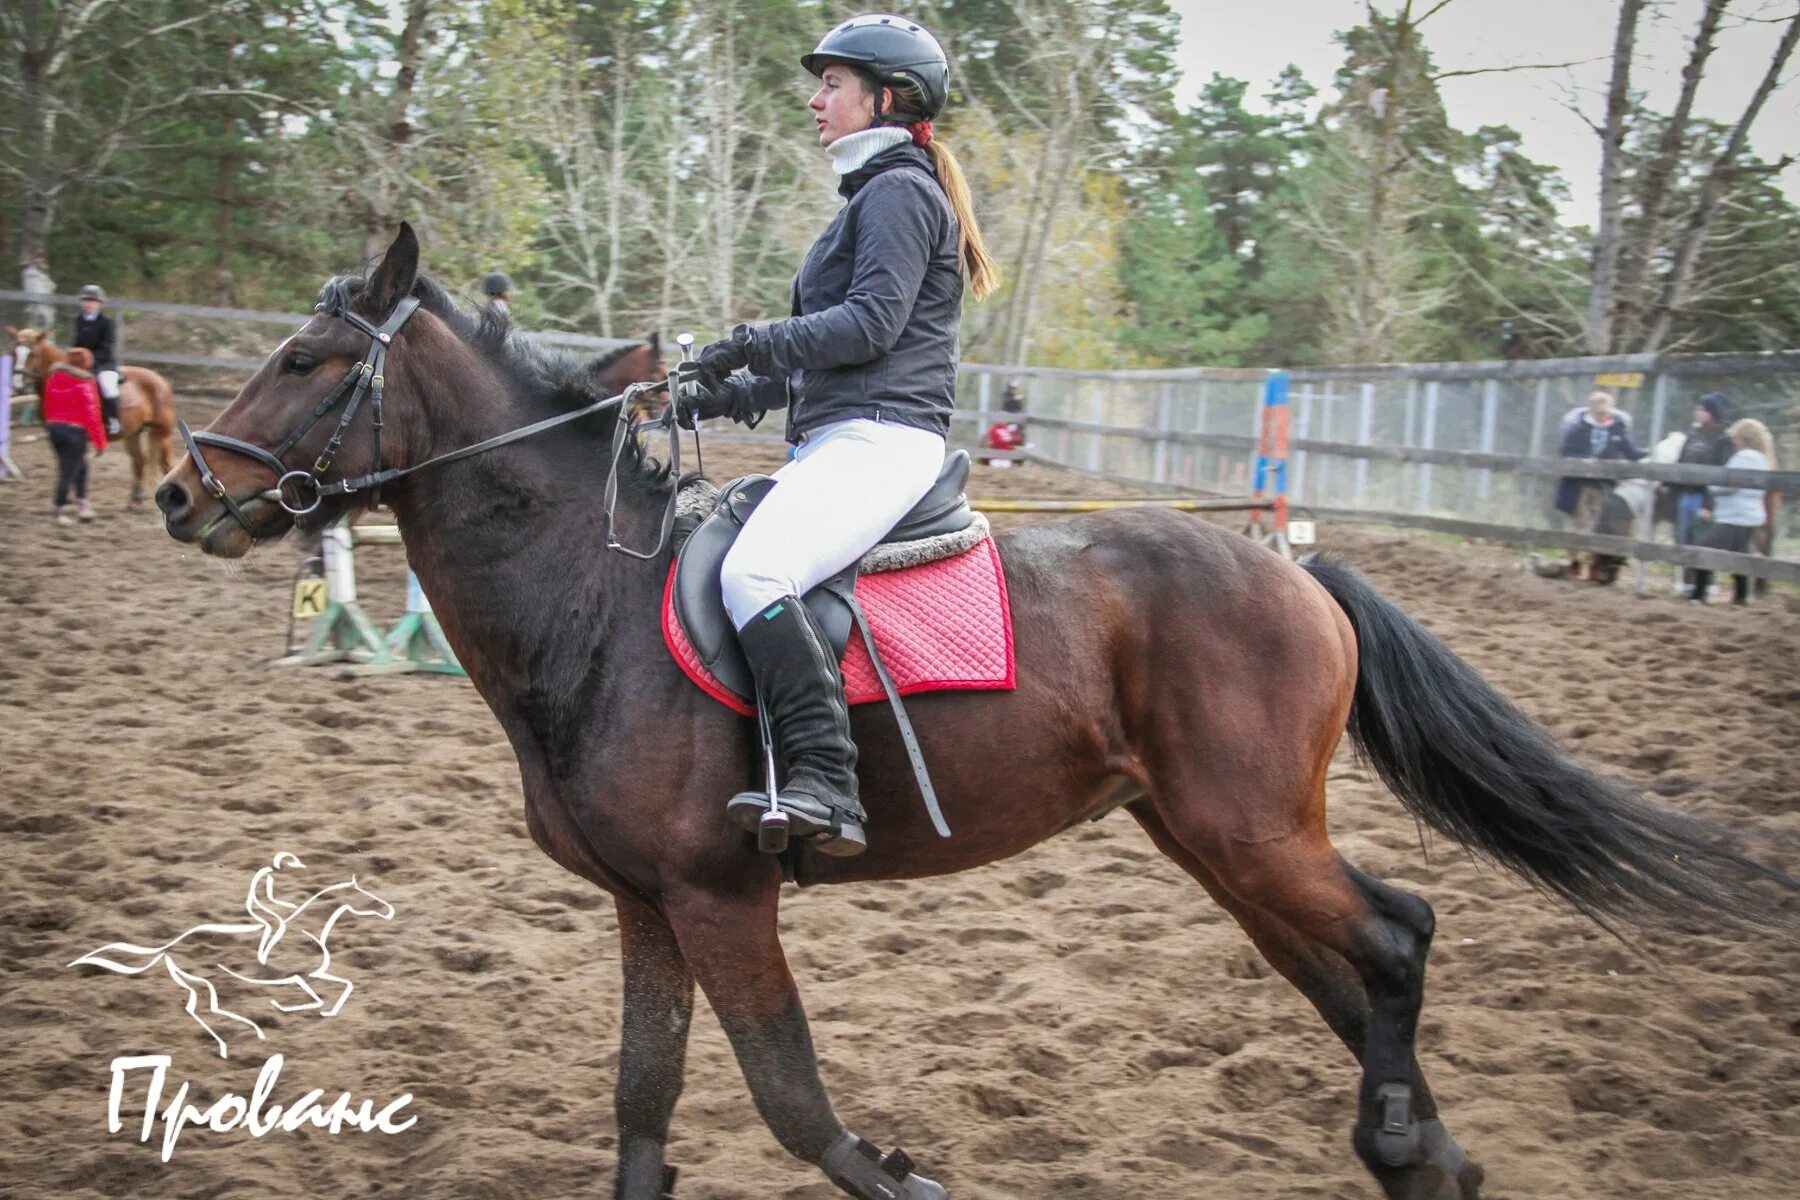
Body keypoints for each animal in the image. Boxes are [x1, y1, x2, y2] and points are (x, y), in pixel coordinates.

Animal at [8, 325, 177, 503]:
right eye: (14, 352)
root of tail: (162, 380)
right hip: (133, 433)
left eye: (33, 354)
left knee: (164, 464)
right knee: (140, 461)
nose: (18, 386)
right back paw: (137, 497)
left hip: (161, 432)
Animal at [158, 227, 1800, 1200]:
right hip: (1216, 839)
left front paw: (904, 1172)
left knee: (1395, 940)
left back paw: (1399, 1141)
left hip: (1246, 829)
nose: (181, 493)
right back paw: (1425, 1159)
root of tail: (1295, 570)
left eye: (307, 361)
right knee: (1347, 979)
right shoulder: (645, 904)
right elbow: (643, 1100)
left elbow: (795, 1104)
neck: (594, 602)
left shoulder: (723, 896)